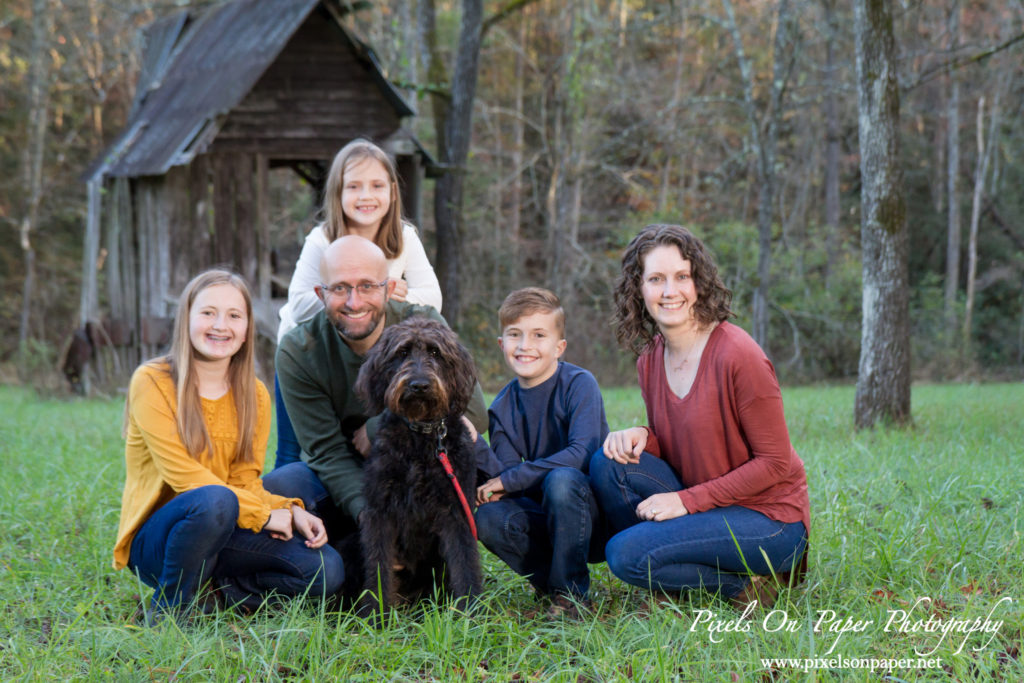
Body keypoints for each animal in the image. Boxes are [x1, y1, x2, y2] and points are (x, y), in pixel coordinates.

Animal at [354, 317, 481, 618]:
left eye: (435, 352)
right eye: (402, 353)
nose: (419, 385)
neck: (421, 436)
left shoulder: (456, 510)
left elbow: (465, 563)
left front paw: (469, 613)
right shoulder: (379, 511)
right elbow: (378, 566)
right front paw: (376, 616)